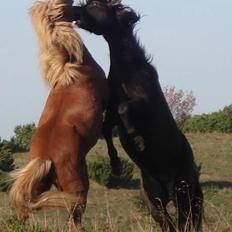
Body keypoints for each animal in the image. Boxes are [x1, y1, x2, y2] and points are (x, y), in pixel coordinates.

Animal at [8, 0, 107, 227]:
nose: (81, 11)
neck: (71, 68)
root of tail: (44, 158)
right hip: (78, 190)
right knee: (74, 219)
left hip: (39, 186)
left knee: (25, 208)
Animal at [72, 0, 203, 231]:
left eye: (95, 4)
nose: (75, 12)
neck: (129, 71)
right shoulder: (111, 115)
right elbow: (106, 129)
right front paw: (115, 164)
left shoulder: (142, 103)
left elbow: (125, 108)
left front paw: (139, 140)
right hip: (154, 201)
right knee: (168, 223)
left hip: (183, 194)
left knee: (184, 222)